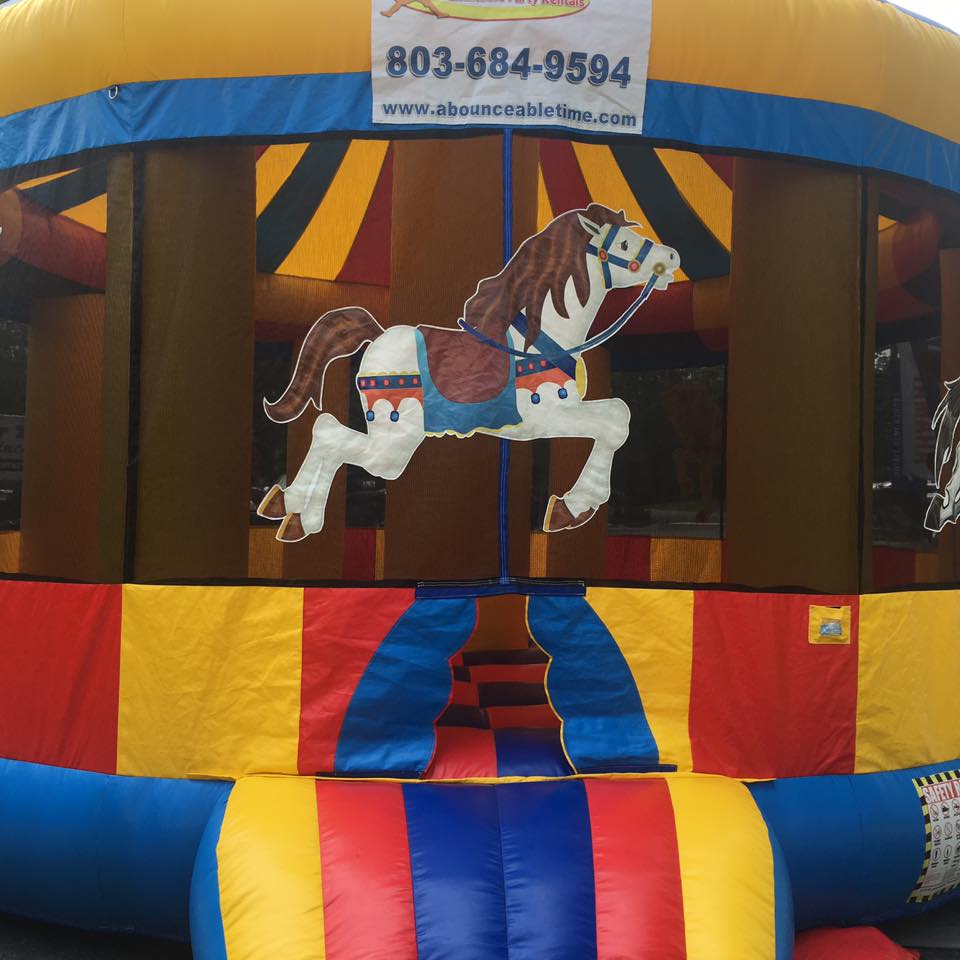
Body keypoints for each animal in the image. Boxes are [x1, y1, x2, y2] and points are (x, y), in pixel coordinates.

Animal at [255, 204, 676, 540]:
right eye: (623, 246)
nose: (671, 255)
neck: (539, 337)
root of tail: (377, 336)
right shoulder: (548, 414)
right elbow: (616, 418)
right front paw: (571, 509)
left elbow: (618, 414)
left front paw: (569, 508)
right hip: (393, 442)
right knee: (331, 434)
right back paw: (297, 514)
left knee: (326, 430)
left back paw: (287, 510)